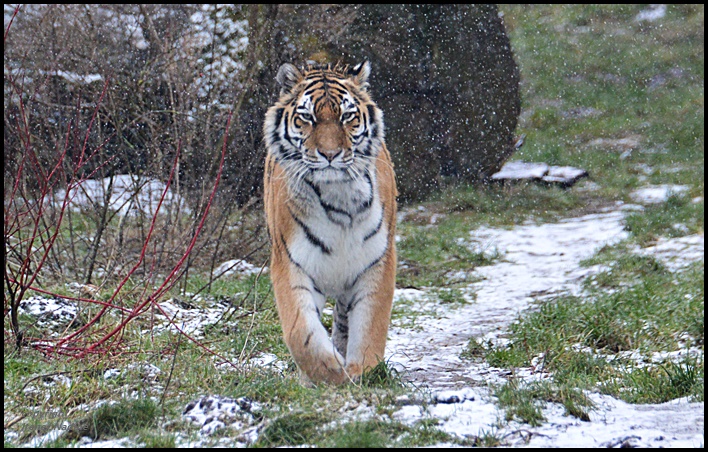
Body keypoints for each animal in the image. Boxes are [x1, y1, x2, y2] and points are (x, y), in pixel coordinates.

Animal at [264, 62, 398, 384]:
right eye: (307, 118)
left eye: (347, 117)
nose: (329, 154)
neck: (338, 196)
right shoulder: (291, 263)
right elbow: (301, 333)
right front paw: (331, 373)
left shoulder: (377, 261)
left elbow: (370, 326)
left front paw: (363, 371)